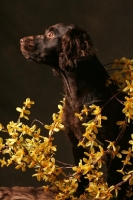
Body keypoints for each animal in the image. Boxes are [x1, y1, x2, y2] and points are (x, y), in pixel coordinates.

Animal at [20, 23, 133, 198]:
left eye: (51, 34)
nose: (21, 40)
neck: (76, 94)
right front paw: (78, 194)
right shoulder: (76, 142)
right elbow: (82, 173)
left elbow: (113, 180)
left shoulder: (111, 145)